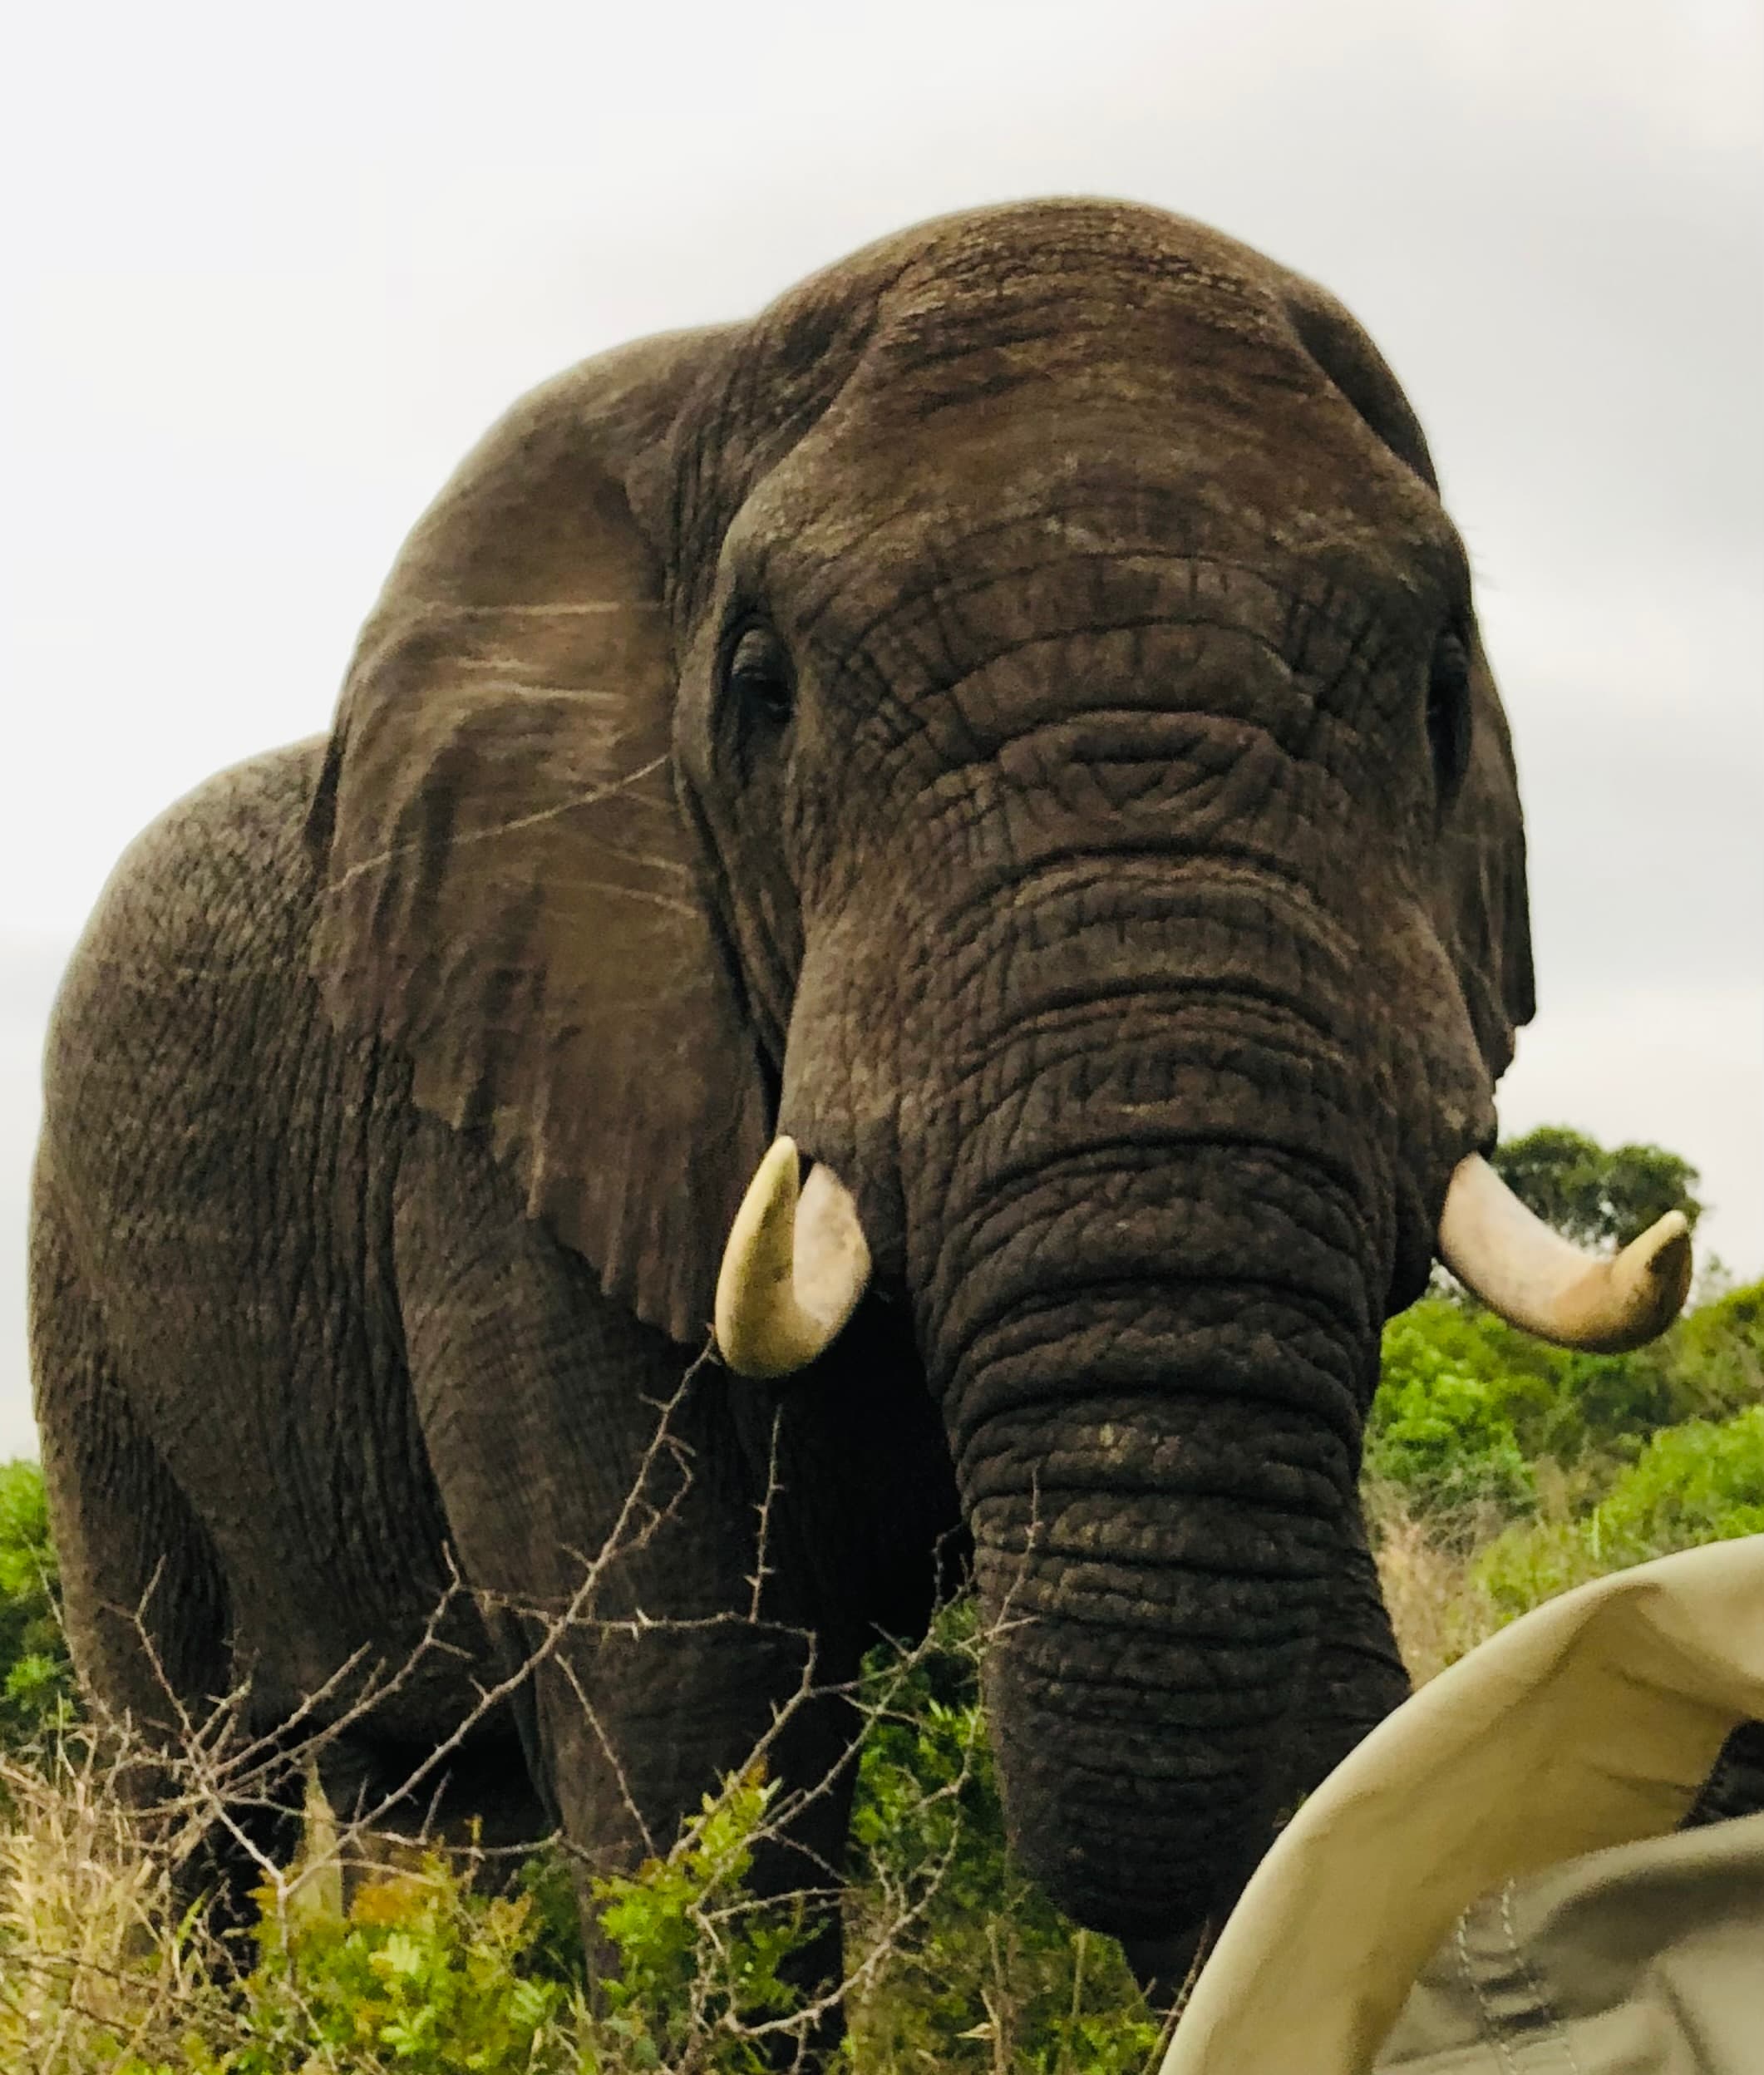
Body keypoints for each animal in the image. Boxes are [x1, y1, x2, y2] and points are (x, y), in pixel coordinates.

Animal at [29, 199, 1692, 2024]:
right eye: (762, 689)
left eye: (1440, 689)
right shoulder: (501, 1128)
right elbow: (696, 1738)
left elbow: (1316, 1679)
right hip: (84, 1313)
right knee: (201, 1782)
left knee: (449, 1789)